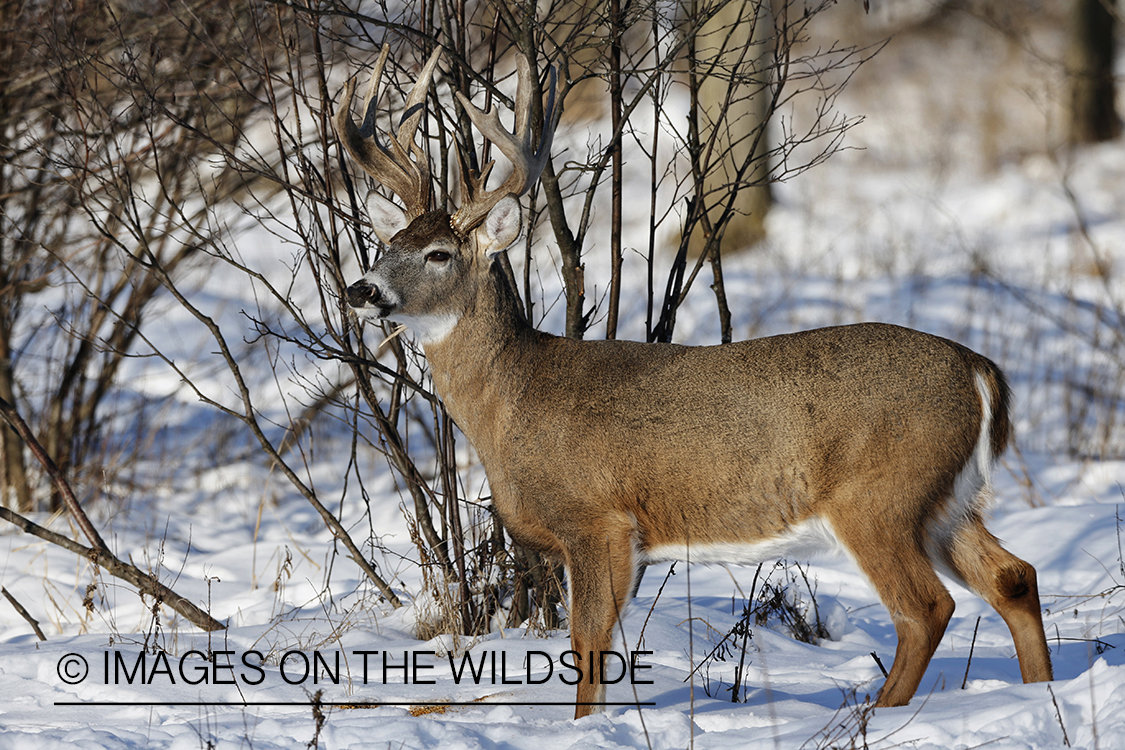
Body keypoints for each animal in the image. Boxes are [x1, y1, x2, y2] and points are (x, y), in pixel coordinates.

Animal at [333, 42, 1053, 719]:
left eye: (438, 254)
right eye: (388, 242)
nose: (360, 290)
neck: (515, 403)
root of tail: (979, 370)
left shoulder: (598, 518)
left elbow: (588, 648)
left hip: (879, 495)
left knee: (924, 607)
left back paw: (876, 714)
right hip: (947, 500)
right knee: (1014, 576)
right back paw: (1040, 694)